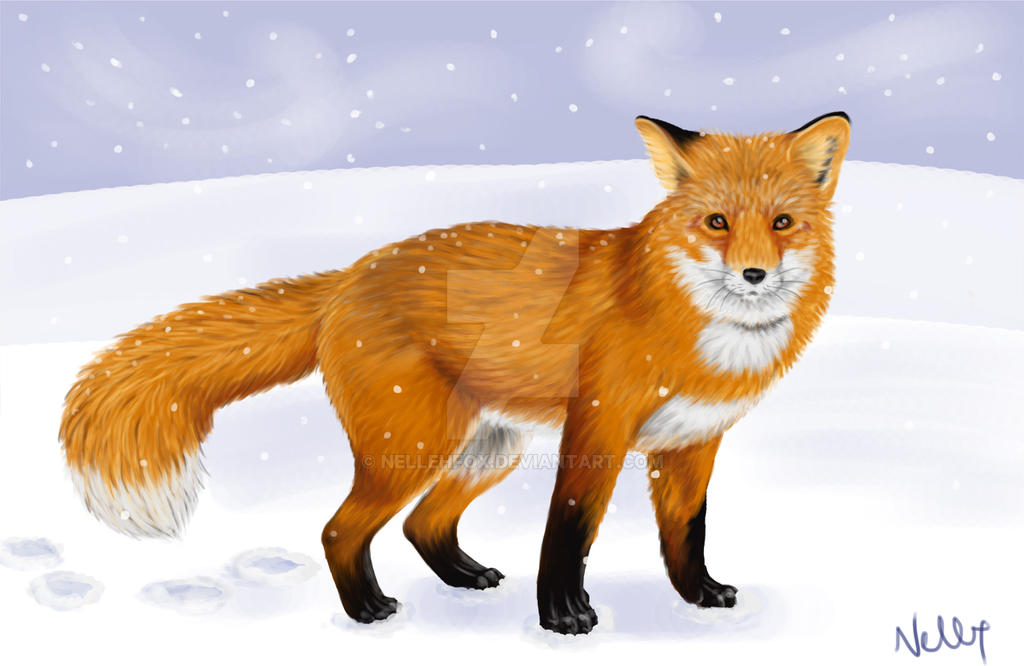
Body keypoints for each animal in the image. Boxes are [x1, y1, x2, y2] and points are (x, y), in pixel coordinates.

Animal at [60, 111, 850, 634]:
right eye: (716, 222)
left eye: (782, 223)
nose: (754, 274)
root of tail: (349, 276)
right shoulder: (597, 430)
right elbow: (568, 530)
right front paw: (562, 617)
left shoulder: (692, 441)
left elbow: (687, 533)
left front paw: (699, 598)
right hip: (412, 449)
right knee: (341, 530)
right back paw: (367, 611)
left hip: (489, 450)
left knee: (421, 525)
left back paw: (465, 577)